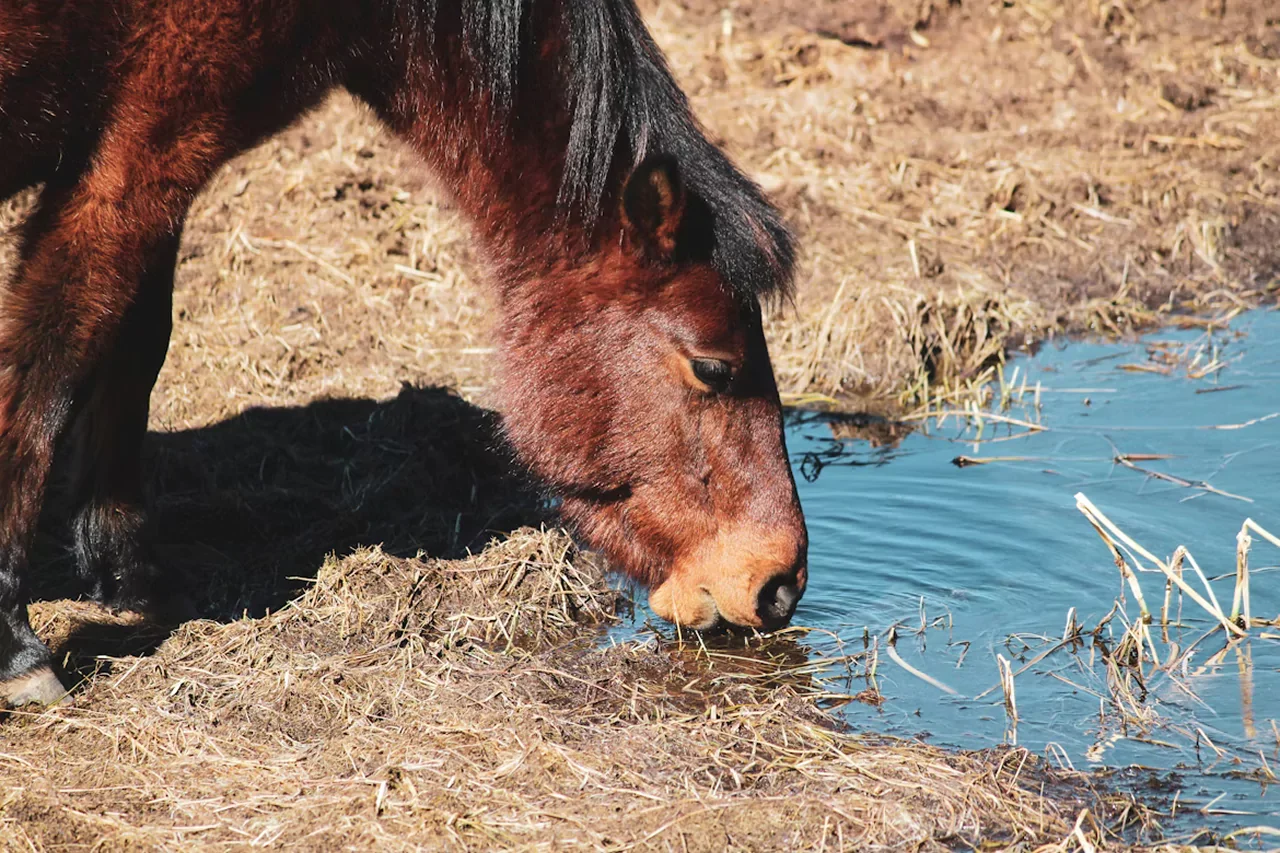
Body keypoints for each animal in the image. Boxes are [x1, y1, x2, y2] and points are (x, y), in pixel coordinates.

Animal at [0, 0, 808, 707]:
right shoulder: (135, 157)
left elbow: (135, 346)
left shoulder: (152, 166)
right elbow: (43, 367)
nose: (780, 585)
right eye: (713, 367)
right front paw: (18, 649)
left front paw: (121, 571)